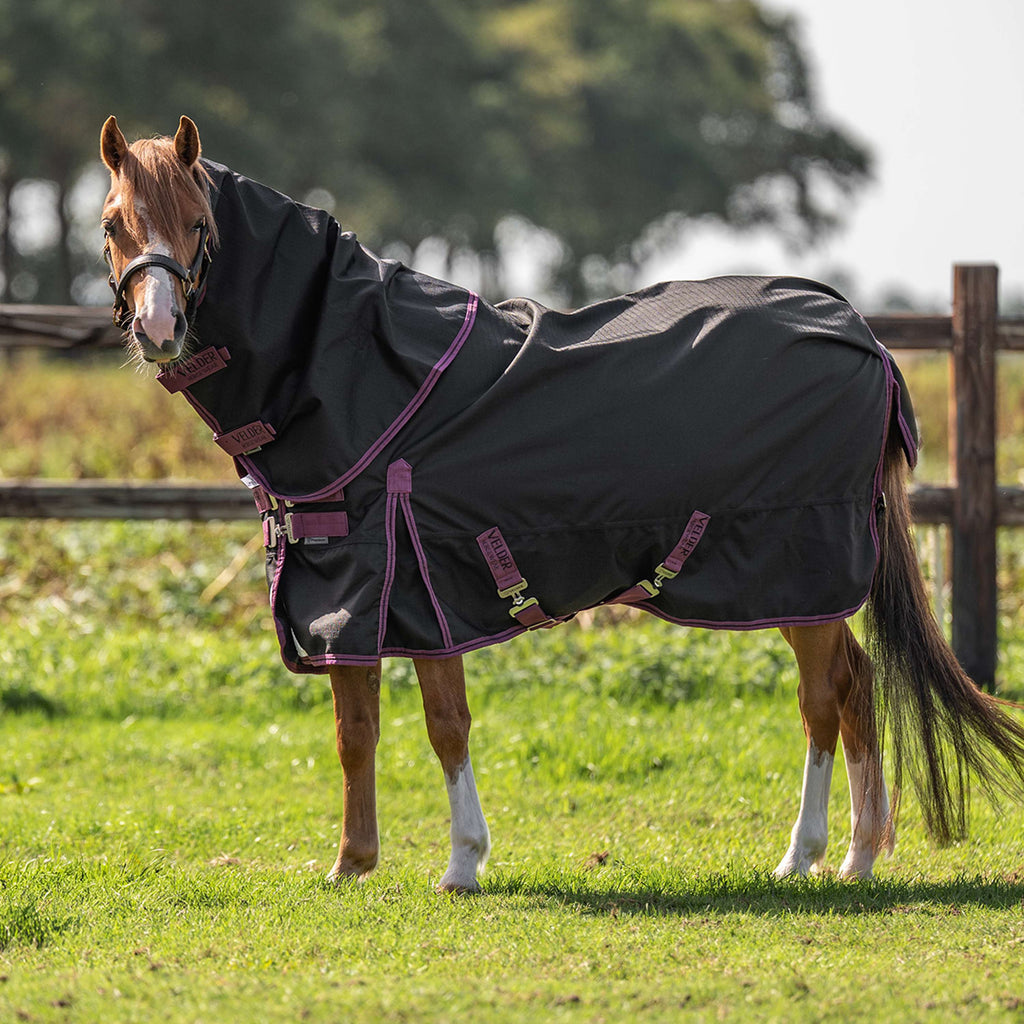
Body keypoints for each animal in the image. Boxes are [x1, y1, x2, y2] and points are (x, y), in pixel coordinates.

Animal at [99, 115, 1024, 893]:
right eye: (112, 224)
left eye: (199, 223)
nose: (158, 328)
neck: (364, 374)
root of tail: (861, 333)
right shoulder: (347, 587)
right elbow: (355, 731)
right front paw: (351, 866)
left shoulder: (424, 581)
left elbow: (446, 725)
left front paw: (462, 866)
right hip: (803, 588)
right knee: (856, 687)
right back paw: (849, 855)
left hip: (799, 566)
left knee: (826, 698)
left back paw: (817, 857)